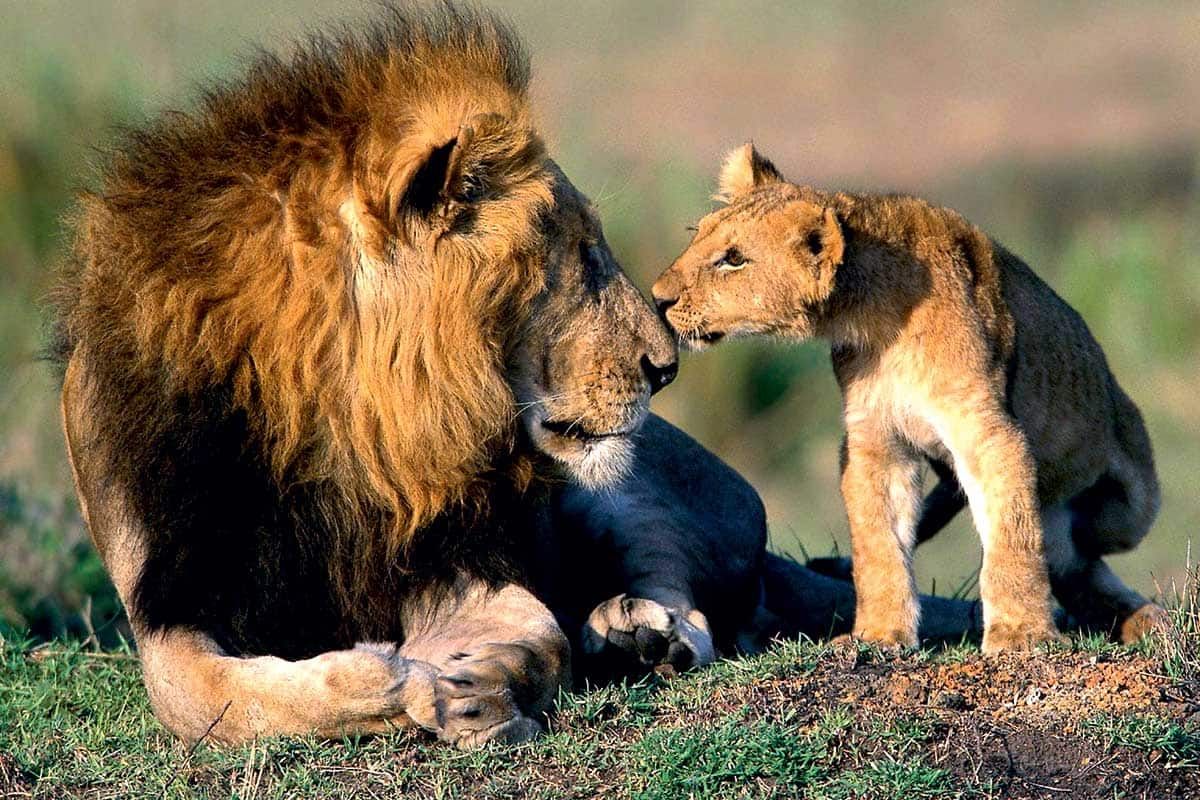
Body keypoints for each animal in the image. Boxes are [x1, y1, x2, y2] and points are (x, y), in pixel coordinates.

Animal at [652, 143, 1165, 654]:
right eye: (697, 237)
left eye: (733, 259)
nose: (657, 298)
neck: (875, 318)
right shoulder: (875, 441)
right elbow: (879, 545)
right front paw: (880, 634)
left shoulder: (988, 432)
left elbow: (1012, 537)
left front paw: (1021, 633)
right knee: (1069, 563)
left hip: (1128, 509)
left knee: (1079, 550)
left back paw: (1144, 617)